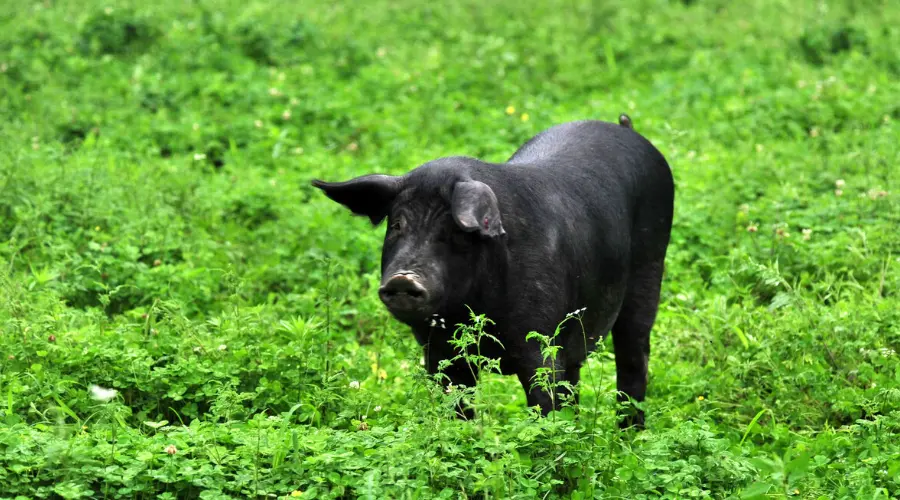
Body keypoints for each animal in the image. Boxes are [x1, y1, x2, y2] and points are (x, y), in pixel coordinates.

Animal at [312, 116, 672, 426]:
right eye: (397, 225)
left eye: (456, 232)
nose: (404, 279)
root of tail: (627, 129)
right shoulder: (440, 353)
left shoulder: (539, 342)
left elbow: (545, 406)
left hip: (650, 268)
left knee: (633, 357)